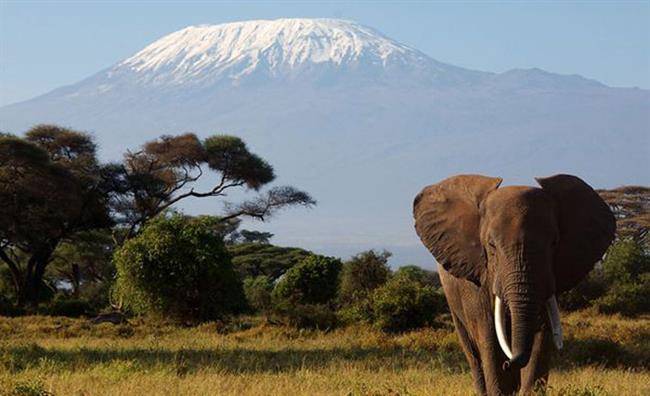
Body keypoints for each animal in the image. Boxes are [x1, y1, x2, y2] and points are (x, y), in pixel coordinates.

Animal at [412, 175, 612, 394]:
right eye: (491, 245)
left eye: (554, 243)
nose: (509, 363)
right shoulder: (477, 280)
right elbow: (490, 338)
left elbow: (541, 339)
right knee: (473, 355)